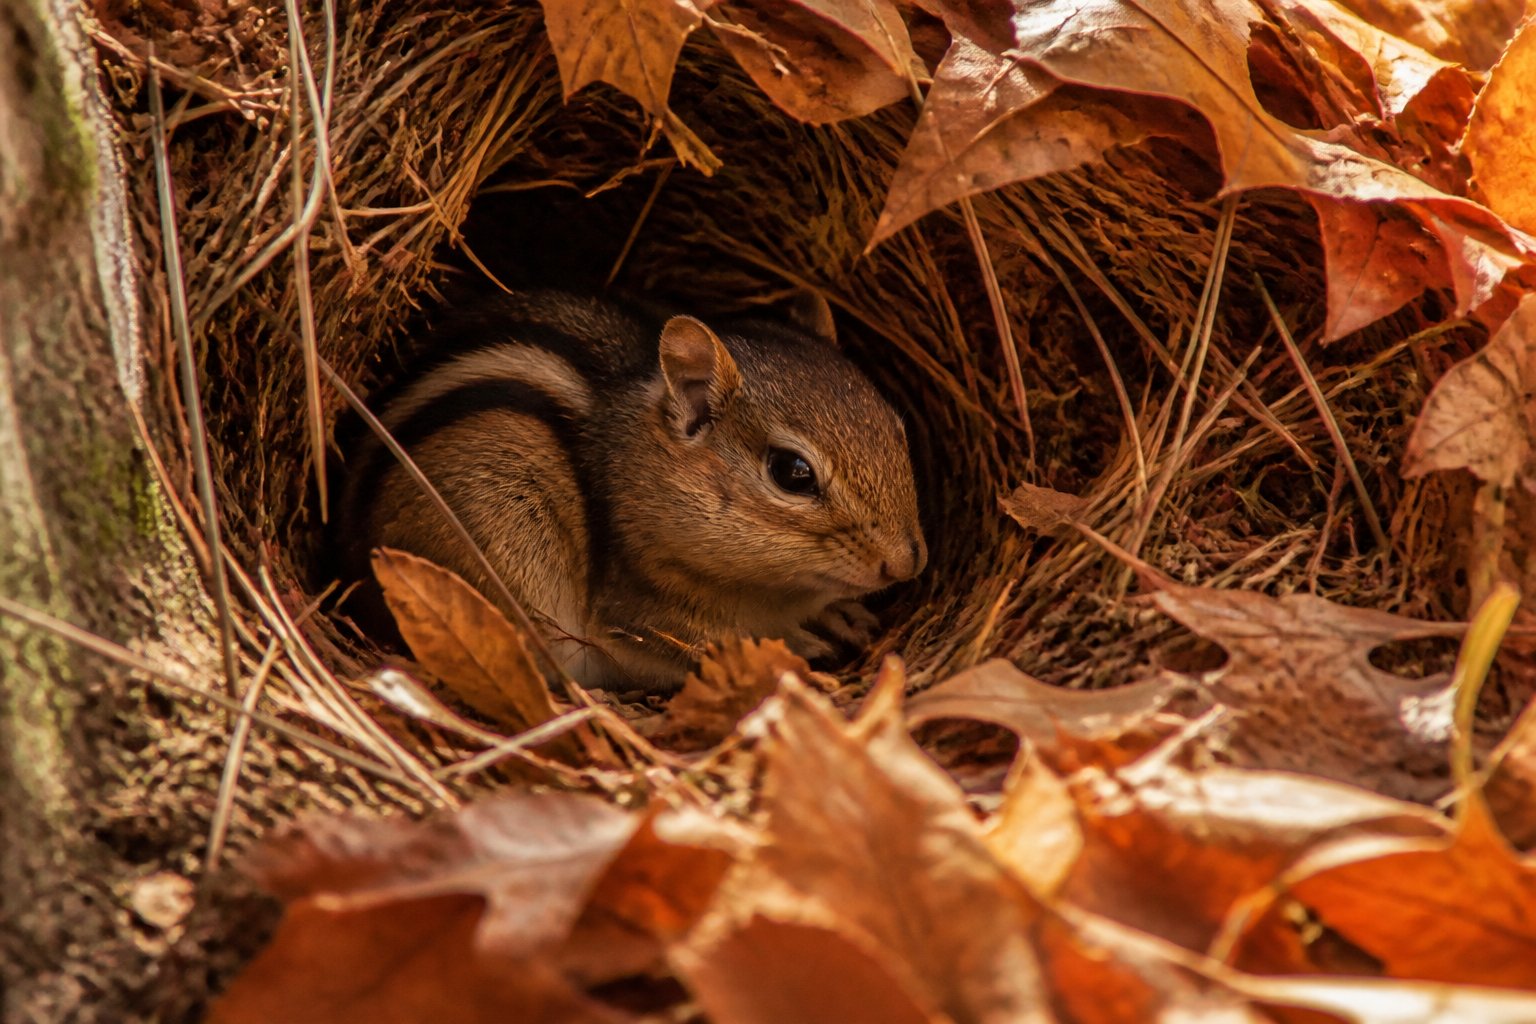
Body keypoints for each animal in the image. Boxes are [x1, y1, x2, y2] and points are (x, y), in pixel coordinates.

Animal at [335, 288, 927, 693]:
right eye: (792, 472)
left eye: (895, 426)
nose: (906, 563)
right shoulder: (634, 618)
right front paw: (800, 646)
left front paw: (840, 617)